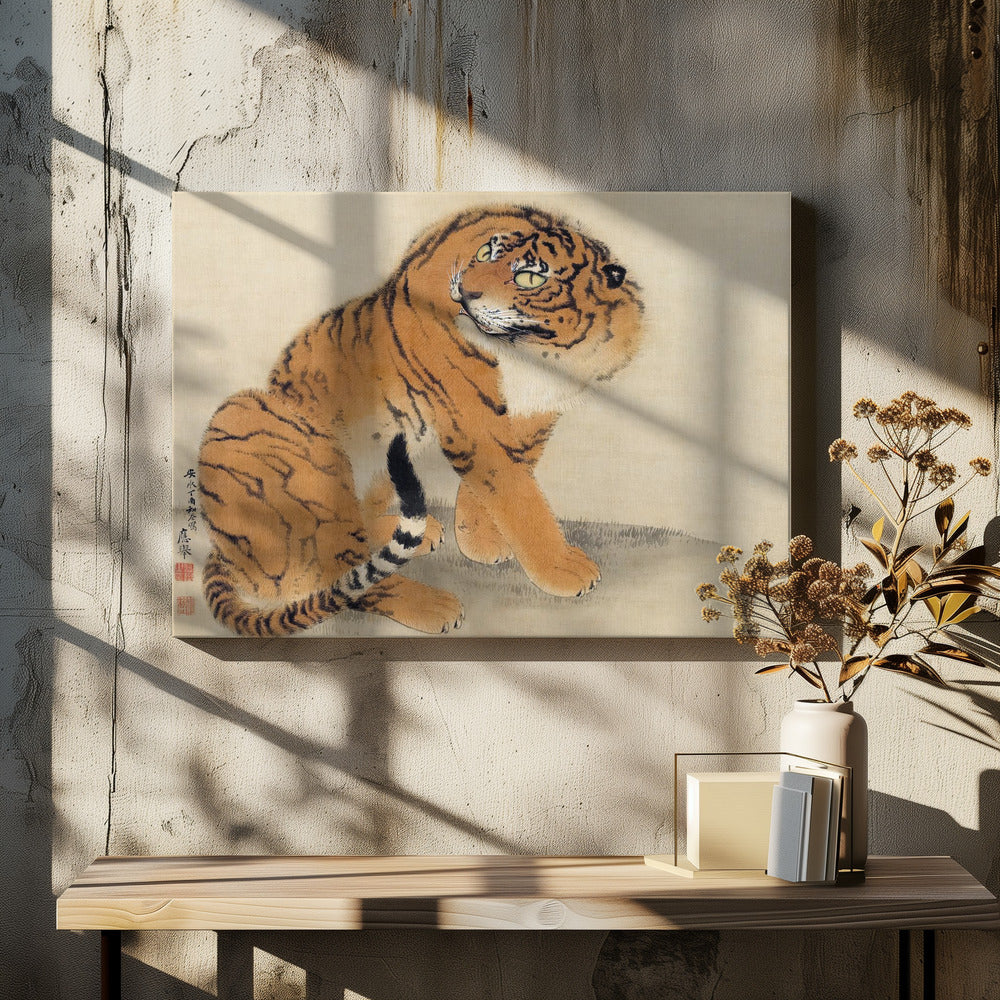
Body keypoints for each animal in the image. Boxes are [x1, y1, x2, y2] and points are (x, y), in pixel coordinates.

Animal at [198, 204, 644, 636]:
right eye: (486, 254)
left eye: (530, 277)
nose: (465, 292)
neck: (537, 352)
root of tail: (224, 551)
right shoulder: (472, 421)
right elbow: (518, 496)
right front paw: (562, 568)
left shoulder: (535, 417)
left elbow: (504, 485)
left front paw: (480, 540)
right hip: (268, 430)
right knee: (342, 575)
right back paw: (435, 606)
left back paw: (419, 531)